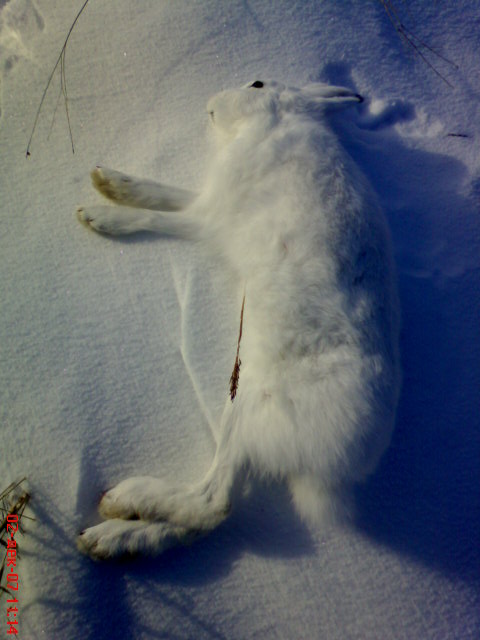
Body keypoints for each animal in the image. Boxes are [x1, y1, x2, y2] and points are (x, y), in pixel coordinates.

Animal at [76, 79, 401, 559]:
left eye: (256, 83)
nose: (210, 105)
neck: (275, 121)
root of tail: (337, 465)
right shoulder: (207, 200)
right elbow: (163, 190)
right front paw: (109, 181)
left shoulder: (210, 215)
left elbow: (161, 214)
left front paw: (102, 215)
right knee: (204, 521)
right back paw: (118, 539)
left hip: (247, 401)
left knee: (213, 501)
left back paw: (123, 503)